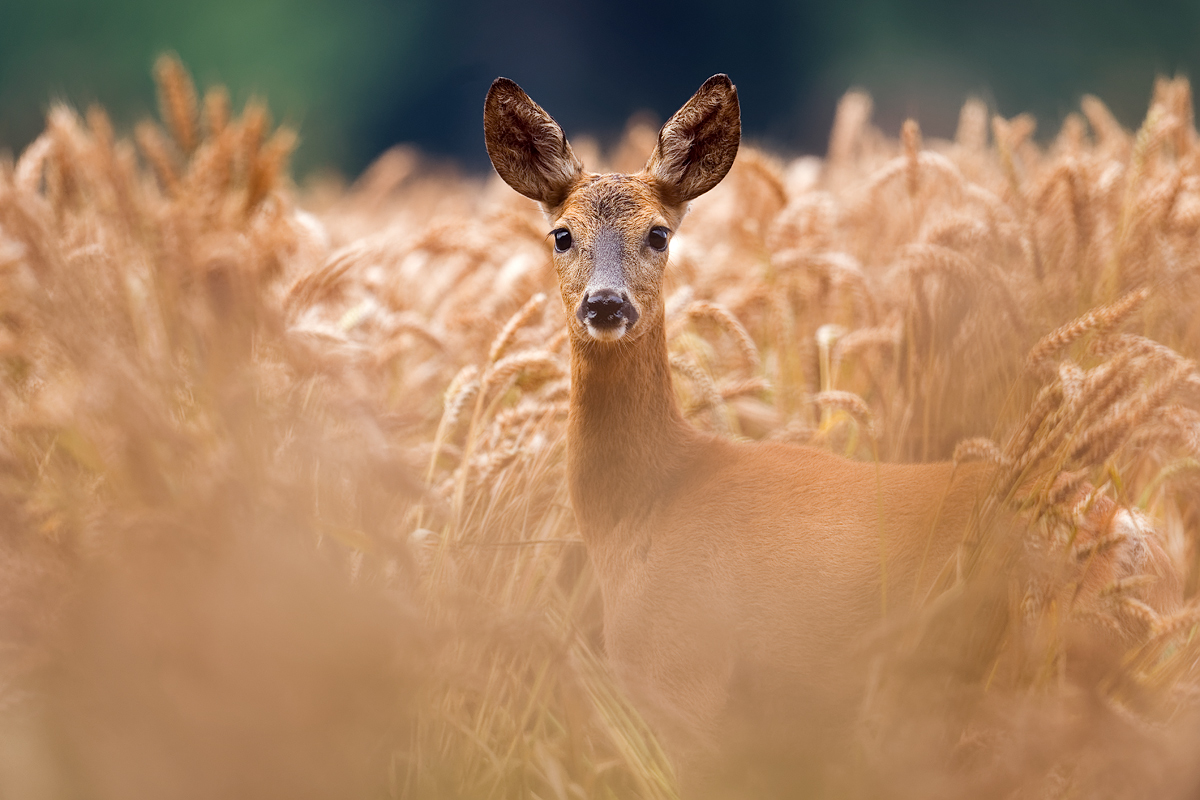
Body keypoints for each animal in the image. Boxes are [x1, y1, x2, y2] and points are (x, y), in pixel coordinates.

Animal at [482, 73, 1176, 796]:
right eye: (561, 234)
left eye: (659, 234)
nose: (606, 304)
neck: (644, 504)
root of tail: (1131, 534)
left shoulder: (687, 679)